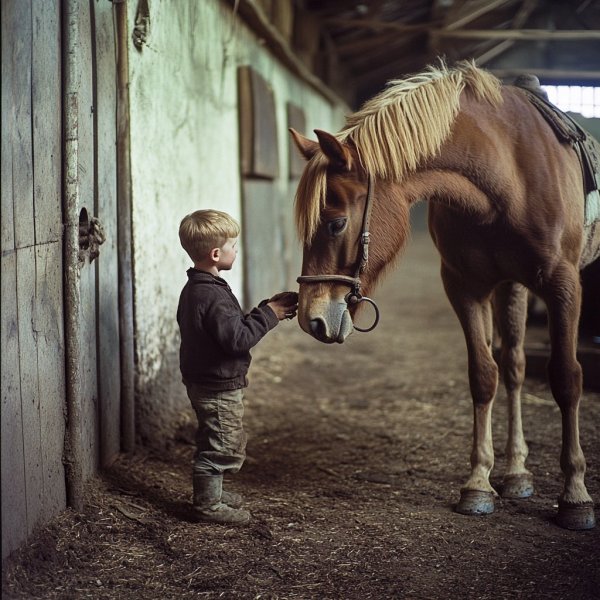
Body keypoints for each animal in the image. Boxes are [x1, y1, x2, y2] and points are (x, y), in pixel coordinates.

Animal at [290, 61, 596, 528]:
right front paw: (478, 484)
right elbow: (484, 376)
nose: (312, 317)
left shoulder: (564, 286)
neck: (507, 173)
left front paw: (576, 495)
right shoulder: (464, 286)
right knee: (514, 366)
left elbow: (566, 378)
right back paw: (516, 472)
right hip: (511, 287)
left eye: (336, 223)